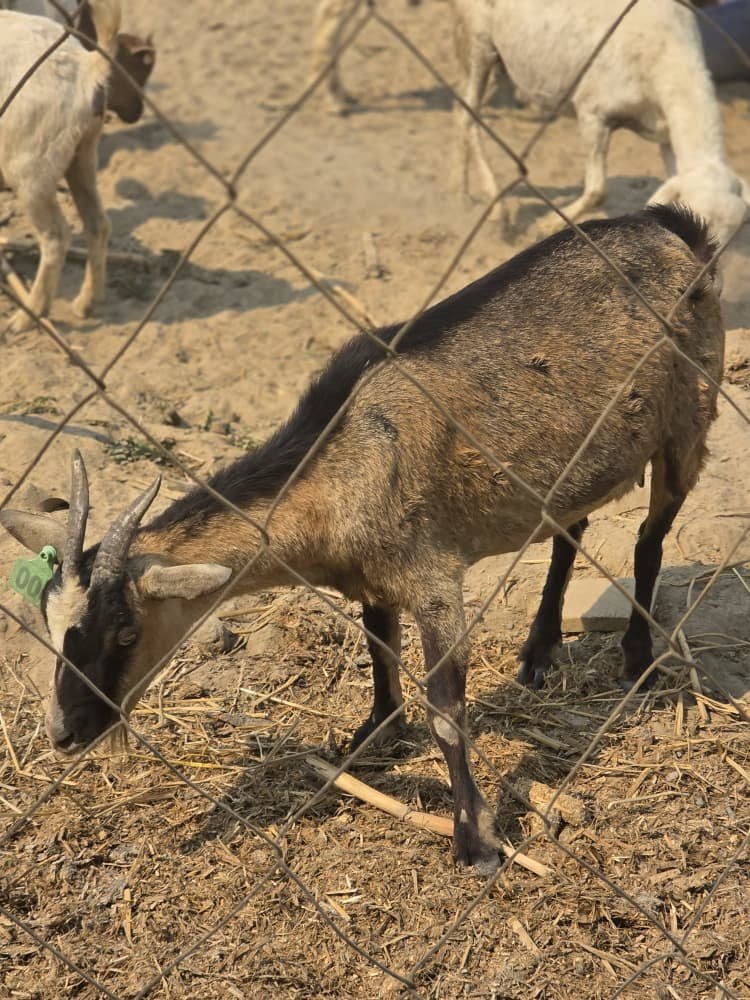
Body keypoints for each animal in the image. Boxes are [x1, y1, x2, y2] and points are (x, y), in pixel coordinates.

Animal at [0, 0, 120, 331]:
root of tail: (88, 66)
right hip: (83, 154)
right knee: (98, 223)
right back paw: (87, 303)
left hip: (28, 167)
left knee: (56, 236)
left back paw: (28, 316)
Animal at [0, 205, 724, 873]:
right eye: (49, 627)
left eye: (126, 632)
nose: (63, 733)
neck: (341, 454)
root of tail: (674, 226)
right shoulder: (372, 575)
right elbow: (378, 645)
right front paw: (374, 733)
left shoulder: (433, 576)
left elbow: (445, 710)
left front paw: (477, 844)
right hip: (576, 462)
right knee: (571, 529)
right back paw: (539, 653)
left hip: (689, 418)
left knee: (650, 538)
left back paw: (636, 657)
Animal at [454, 0, 749, 247]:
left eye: (730, 238)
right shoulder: (592, 112)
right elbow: (597, 190)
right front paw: (549, 224)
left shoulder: (666, 135)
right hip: (479, 40)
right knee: (469, 118)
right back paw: (497, 210)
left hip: (501, 62)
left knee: (462, 111)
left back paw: (464, 191)